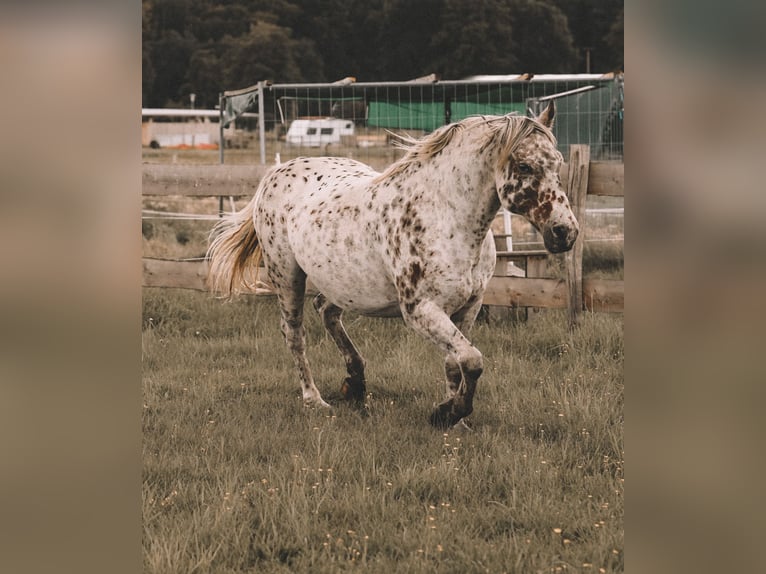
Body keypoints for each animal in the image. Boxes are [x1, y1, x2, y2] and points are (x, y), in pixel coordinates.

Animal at [207, 102, 580, 428]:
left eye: (558, 163)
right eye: (525, 166)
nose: (565, 232)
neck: (446, 216)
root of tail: (277, 172)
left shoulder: (468, 307)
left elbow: (456, 363)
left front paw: (455, 420)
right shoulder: (420, 310)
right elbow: (472, 362)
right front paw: (447, 413)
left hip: (343, 283)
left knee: (326, 311)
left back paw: (355, 383)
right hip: (287, 276)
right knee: (294, 335)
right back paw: (315, 399)